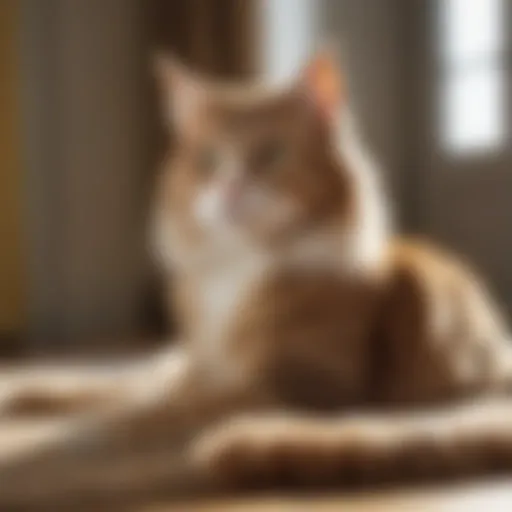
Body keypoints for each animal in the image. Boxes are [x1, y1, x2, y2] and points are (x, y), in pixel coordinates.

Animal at [1, 50, 512, 506]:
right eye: (208, 160)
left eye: (271, 154)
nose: (230, 189)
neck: (238, 267)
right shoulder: (200, 369)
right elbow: (128, 395)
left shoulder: (297, 386)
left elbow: (144, 417)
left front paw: (64, 438)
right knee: (118, 377)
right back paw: (22, 388)